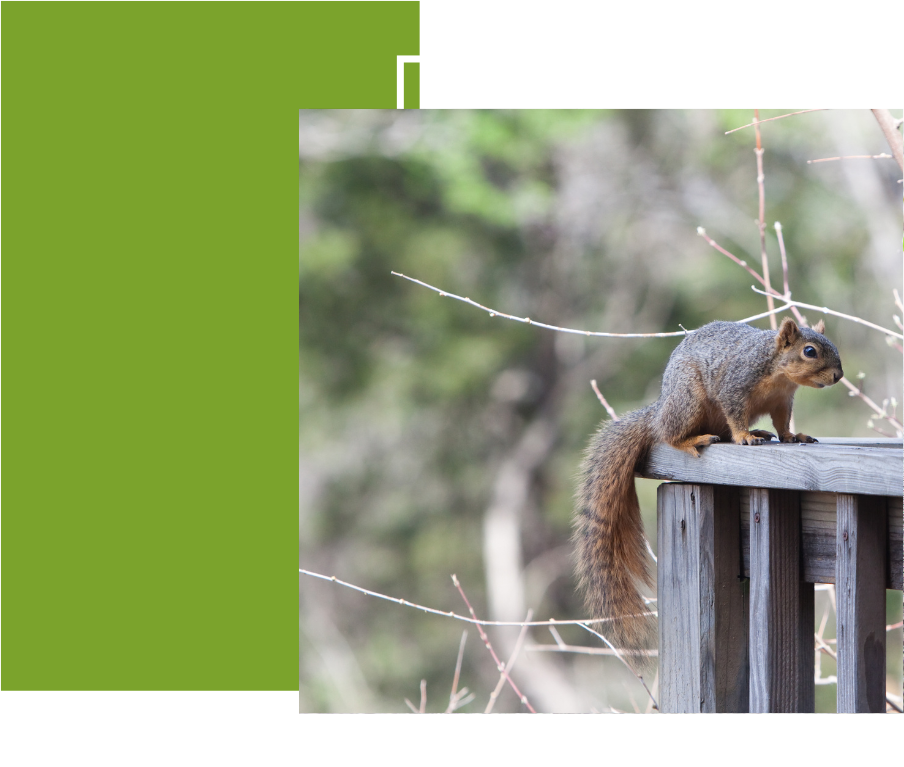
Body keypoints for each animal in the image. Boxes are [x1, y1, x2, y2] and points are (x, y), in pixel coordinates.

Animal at [573, 317, 843, 673]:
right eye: (809, 351)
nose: (839, 375)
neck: (776, 372)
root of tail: (658, 411)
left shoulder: (782, 400)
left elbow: (782, 423)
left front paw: (791, 435)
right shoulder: (735, 388)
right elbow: (735, 413)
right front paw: (745, 436)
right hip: (689, 400)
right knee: (670, 434)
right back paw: (695, 439)